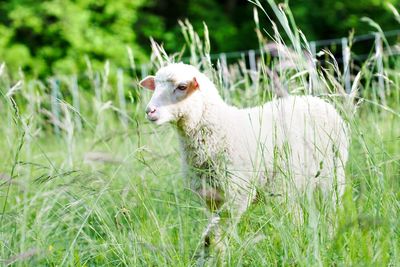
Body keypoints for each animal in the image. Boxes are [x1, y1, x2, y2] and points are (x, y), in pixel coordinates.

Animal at [139, 62, 348, 258]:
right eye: (155, 85)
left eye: (182, 87)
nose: (150, 111)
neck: (222, 128)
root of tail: (318, 100)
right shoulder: (211, 197)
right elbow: (215, 232)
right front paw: (217, 256)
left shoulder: (237, 191)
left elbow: (214, 232)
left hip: (333, 175)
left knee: (331, 209)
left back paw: (329, 238)